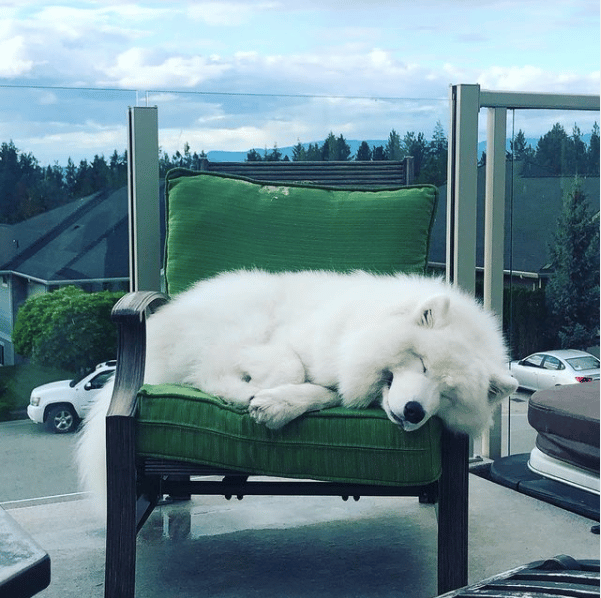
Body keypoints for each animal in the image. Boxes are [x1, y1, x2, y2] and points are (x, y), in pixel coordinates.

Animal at [76, 270, 516, 508]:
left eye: (447, 394)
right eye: (423, 363)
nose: (413, 412)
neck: (357, 325)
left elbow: (325, 392)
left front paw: (279, 404)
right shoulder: (286, 343)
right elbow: (290, 366)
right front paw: (262, 394)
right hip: (241, 322)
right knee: (207, 372)